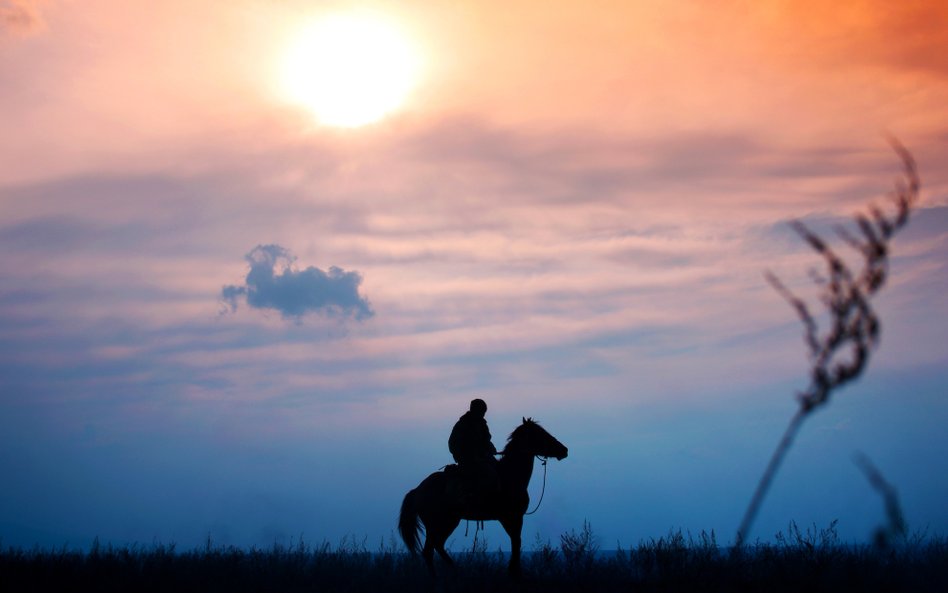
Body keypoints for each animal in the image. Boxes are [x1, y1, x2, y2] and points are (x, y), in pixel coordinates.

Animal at [396, 416, 568, 572]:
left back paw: (456, 570)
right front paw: (513, 571)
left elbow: (516, 542)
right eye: (540, 433)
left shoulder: (513, 518)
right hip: (437, 523)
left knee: (437, 546)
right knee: (429, 551)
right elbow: (516, 542)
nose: (564, 450)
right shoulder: (510, 517)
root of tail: (417, 490)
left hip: (449, 521)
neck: (509, 475)